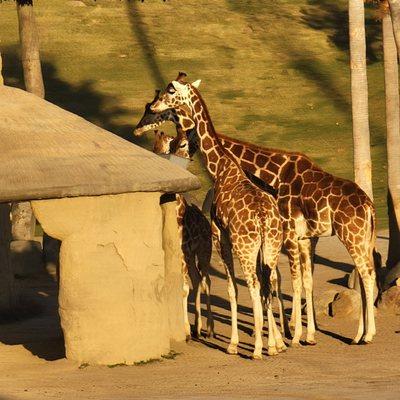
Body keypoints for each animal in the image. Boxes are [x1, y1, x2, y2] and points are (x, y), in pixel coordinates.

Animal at [152, 130, 214, 340]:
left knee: (205, 281)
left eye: (182, 144)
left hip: (204, 252)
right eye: (171, 144)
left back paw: (208, 329)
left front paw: (184, 330)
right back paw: (198, 327)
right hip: (192, 256)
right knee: (197, 280)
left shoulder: (182, 253)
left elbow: (183, 289)